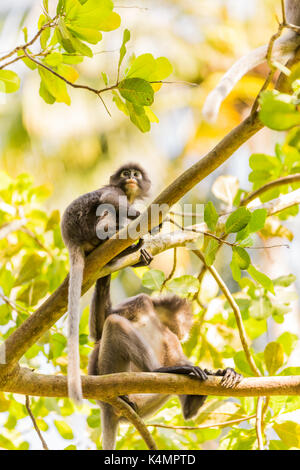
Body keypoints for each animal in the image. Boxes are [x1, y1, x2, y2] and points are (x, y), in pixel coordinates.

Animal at [61, 164, 154, 404]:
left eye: (135, 174)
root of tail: (70, 239)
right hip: (86, 226)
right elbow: (110, 200)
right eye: (125, 174)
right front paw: (139, 216)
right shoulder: (114, 190)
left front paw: (142, 256)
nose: (131, 177)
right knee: (108, 212)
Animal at [88, 288, 243, 450]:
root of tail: (105, 406)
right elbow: (99, 331)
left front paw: (223, 372)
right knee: (114, 322)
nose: (184, 334)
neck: (157, 320)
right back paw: (157, 371)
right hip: (108, 370)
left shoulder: (171, 337)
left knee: (184, 404)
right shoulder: (142, 301)